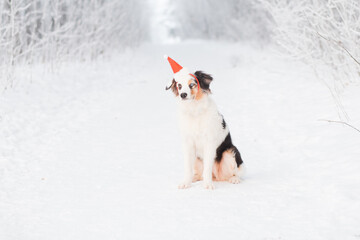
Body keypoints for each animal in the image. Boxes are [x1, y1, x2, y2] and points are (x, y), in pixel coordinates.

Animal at [164, 55, 243, 189]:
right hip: (197, 157)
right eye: (179, 85)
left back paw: (234, 179)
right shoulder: (188, 143)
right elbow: (188, 168)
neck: (195, 111)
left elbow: (207, 168)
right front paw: (186, 183)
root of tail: (217, 176)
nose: (183, 95)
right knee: (198, 173)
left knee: (237, 171)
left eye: (192, 85)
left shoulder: (209, 142)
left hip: (230, 151)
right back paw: (194, 178)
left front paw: (208, 185)